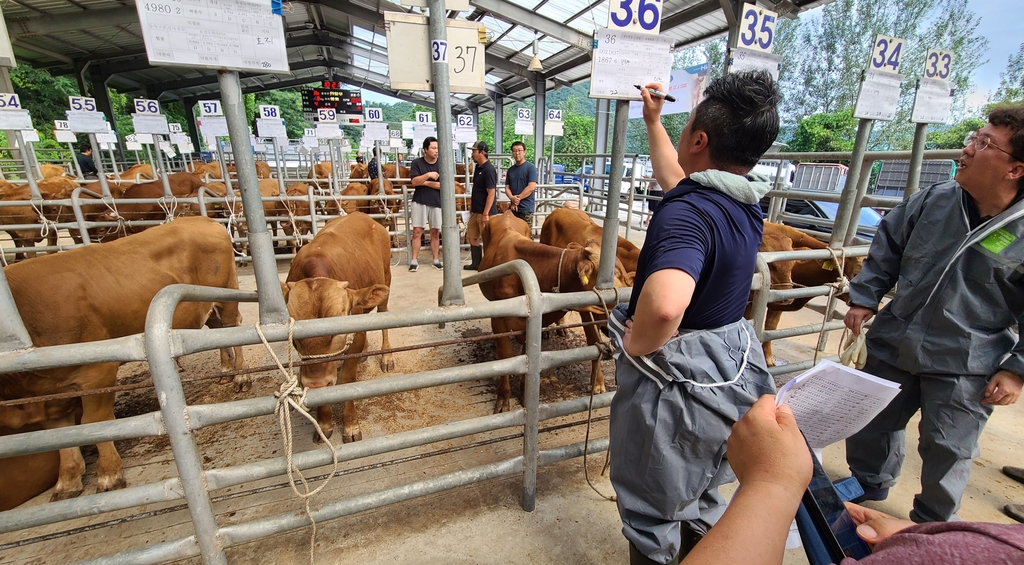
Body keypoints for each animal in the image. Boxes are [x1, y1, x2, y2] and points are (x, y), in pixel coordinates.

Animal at [0, 214, 247, 499]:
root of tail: (202, 219)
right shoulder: (47, 393)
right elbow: (62, 434)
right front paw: (67, 481)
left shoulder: (97, 371)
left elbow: (94, 422)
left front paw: (109, 474)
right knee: (218, 332)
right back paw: (225, 371)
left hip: (226, 295)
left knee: (232, 326)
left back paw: (241, 376)